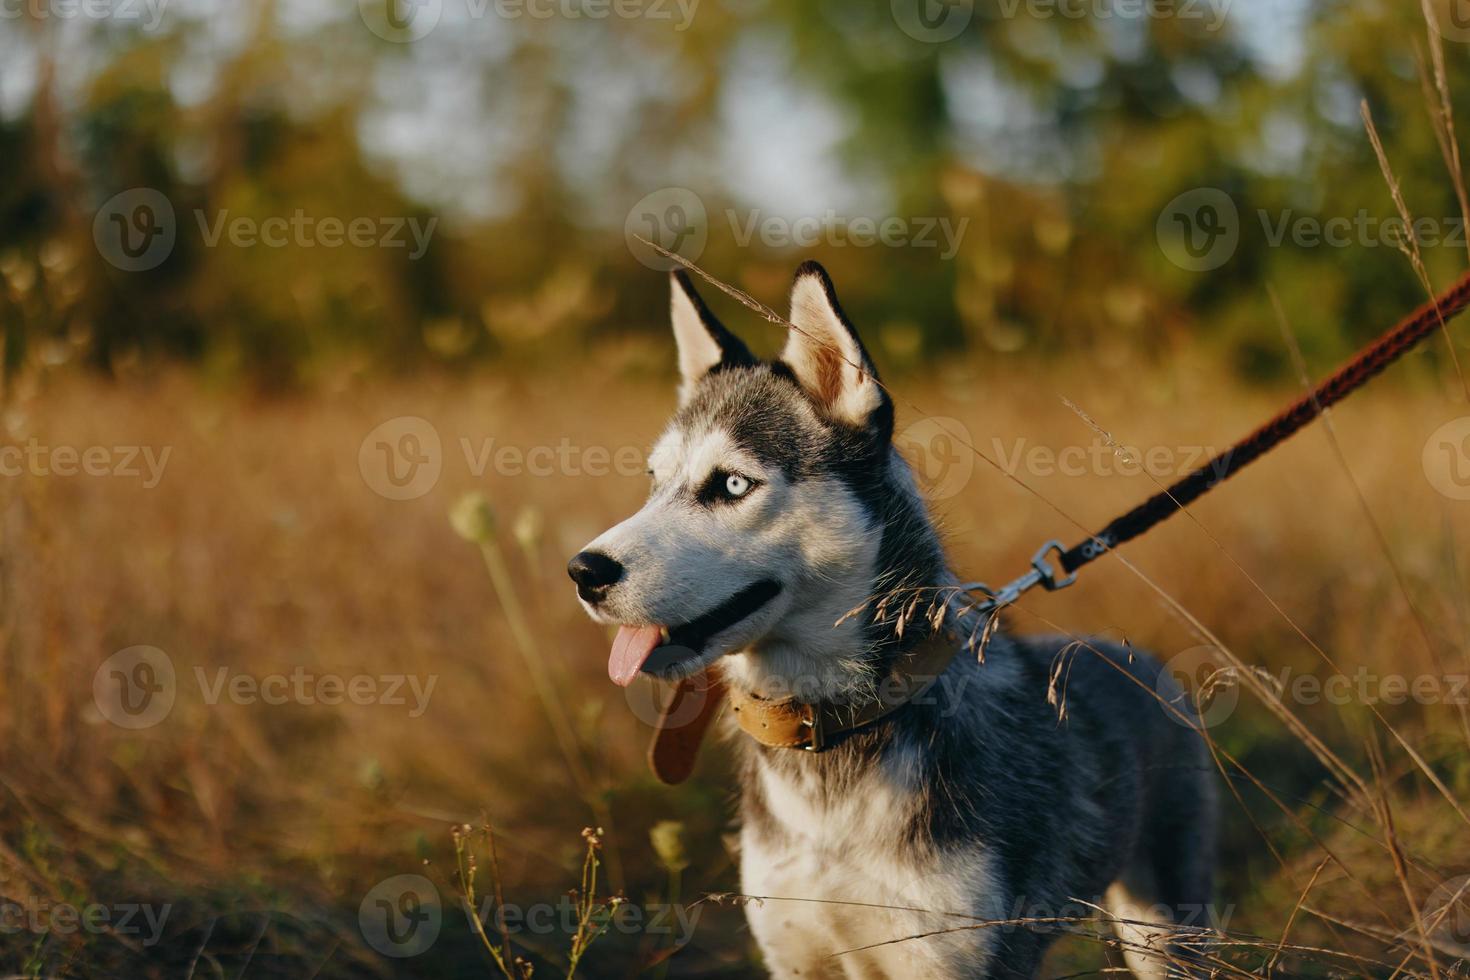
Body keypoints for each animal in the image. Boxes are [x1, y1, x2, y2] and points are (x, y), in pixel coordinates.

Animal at [570, 262, 1217, 980]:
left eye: (732, 485)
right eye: (654, 480)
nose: (584, 572)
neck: (832, 737)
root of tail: (1137, 658)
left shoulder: (957, 956)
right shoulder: (796, 955)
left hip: (1165, 928)